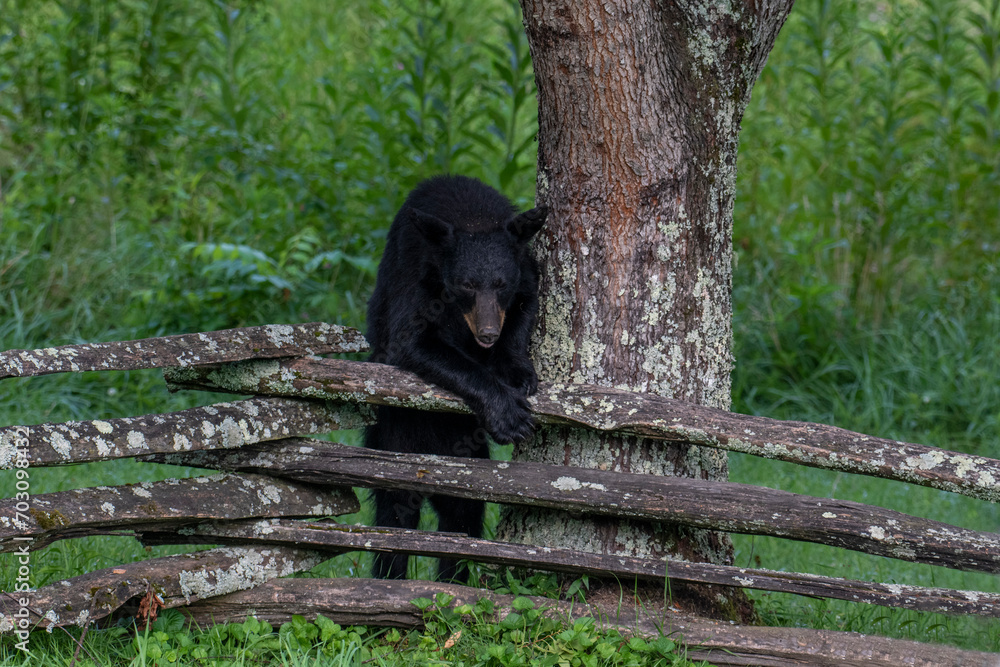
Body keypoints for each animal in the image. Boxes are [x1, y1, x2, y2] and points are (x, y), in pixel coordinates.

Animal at [364, 174, 547, 582]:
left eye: (500, 284)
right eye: (466, 285)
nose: (488, 334)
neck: (472, 215)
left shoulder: (523, 267)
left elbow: (526, 304)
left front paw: (518, 371)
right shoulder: (415, 271)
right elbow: (411, 341)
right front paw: (509, 416)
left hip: (466, 461)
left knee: (463, 514)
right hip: (394, 440)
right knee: (394, 512)